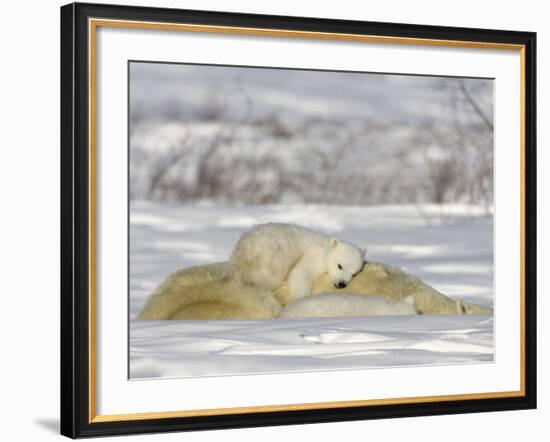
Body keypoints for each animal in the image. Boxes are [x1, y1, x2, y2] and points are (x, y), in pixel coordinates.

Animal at [224, 224, 366, 300]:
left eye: (354, 273)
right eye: (340, 266)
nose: (342, 284)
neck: (325, 248)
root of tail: (247, 247)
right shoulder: (313, 256)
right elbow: (300, 272)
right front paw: (303, 297)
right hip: (272, 255)